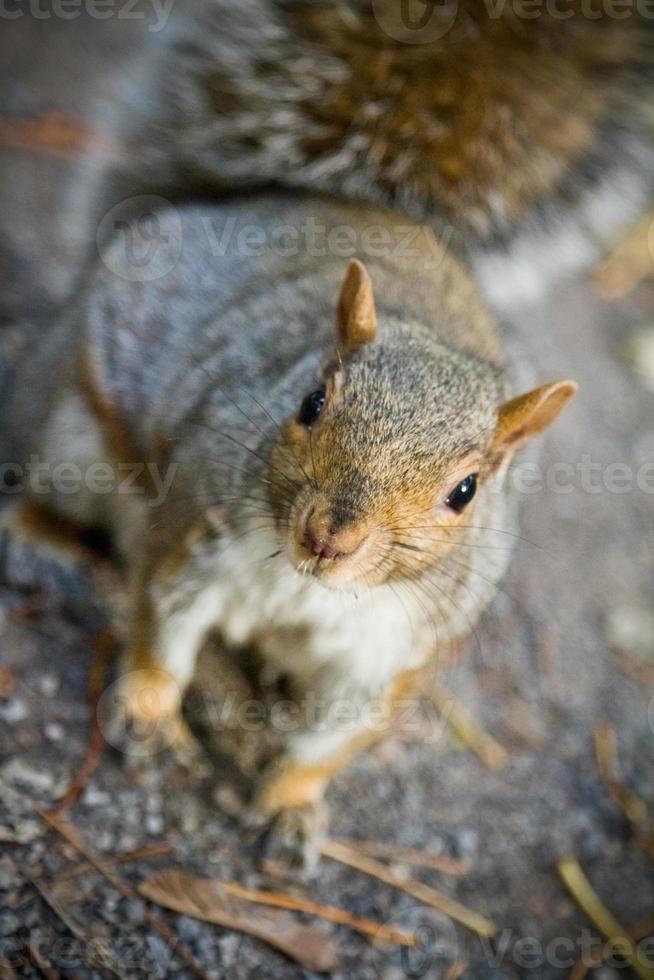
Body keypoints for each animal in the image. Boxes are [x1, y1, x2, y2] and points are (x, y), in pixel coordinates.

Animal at [3, 195, 580, 868]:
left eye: (465, 491)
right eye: (312, 402)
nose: (328, 538)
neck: (307, 587)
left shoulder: (395, 645)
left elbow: (338, 734)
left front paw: (290, 806)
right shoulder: (194, 525)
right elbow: (160, 623)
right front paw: (150, 714)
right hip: (73, 442)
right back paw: (44, 542)